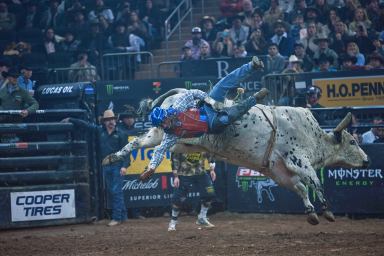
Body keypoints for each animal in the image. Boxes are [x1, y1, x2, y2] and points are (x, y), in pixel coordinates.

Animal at [106, 89, 368, 225]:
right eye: (353, 141)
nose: (366, 161)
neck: (313, 135)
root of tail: (176, 96)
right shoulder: (298, 159)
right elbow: (315, 182)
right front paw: (326, 210)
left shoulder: (279, 172)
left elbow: (301, 188)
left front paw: (311, 213)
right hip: (176, 136)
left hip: (165, 135)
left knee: (139, 142)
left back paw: (113, 158)